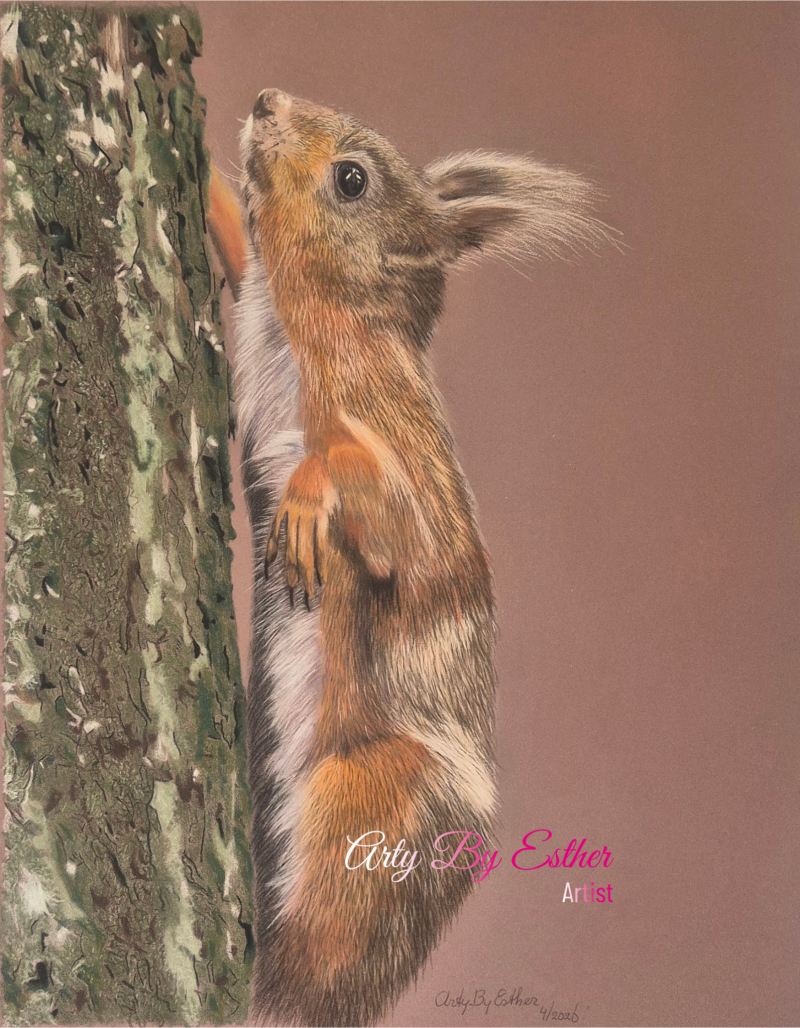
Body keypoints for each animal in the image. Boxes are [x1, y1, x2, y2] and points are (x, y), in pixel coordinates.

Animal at [207, 88, 609, 1028]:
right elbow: (242, 245)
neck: (321, 316)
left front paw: (307, 503)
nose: (266, 100)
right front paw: (209, 191)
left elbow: (392, 522)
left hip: (368, 811)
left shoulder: (393, 439)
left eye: (352, 180)